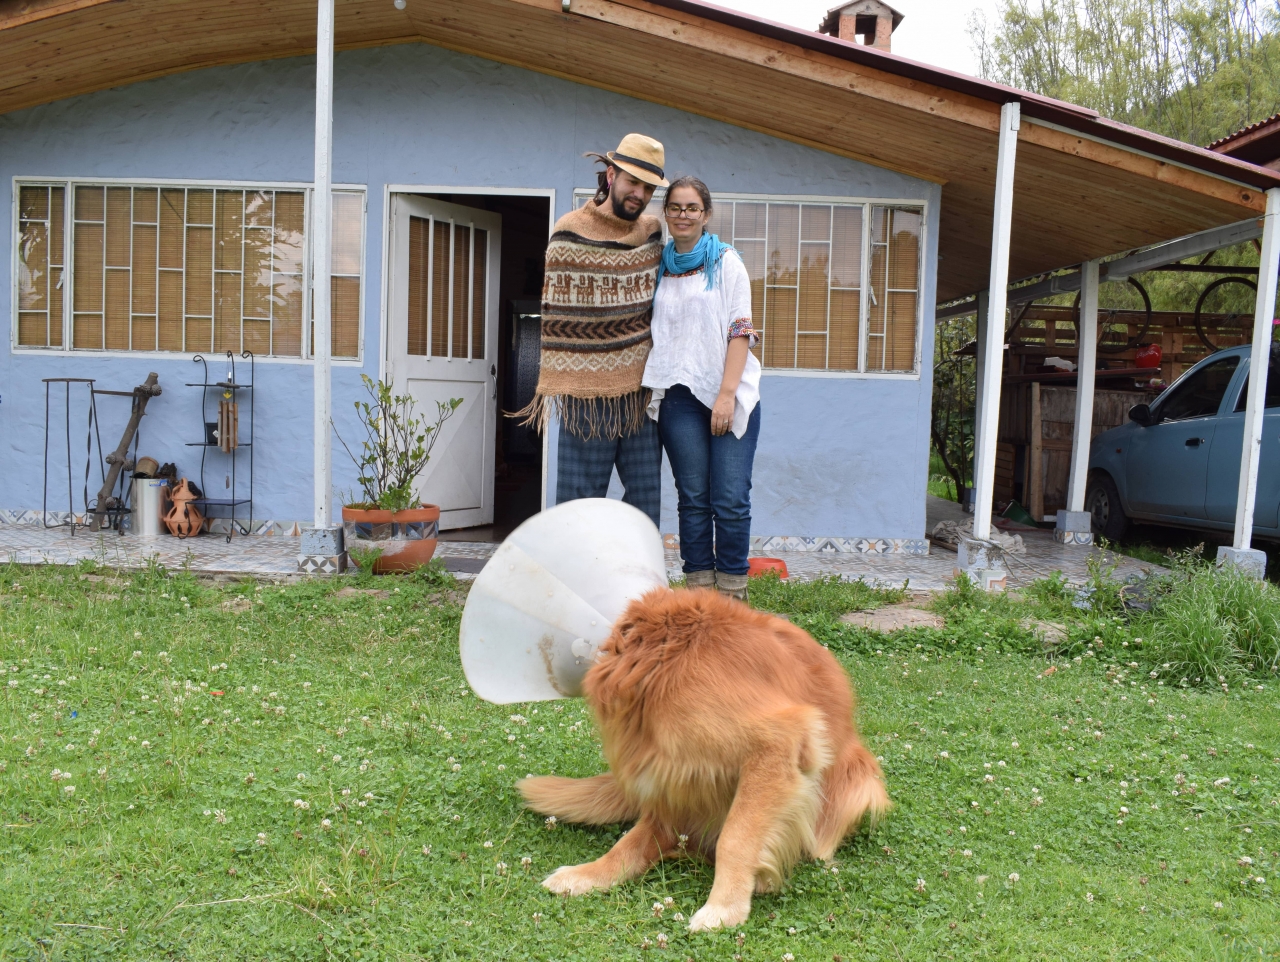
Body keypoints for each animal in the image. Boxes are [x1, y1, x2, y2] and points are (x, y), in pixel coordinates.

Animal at [514, 585, 885, 931]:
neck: (667, 658)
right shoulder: (666, 779)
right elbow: (630, 841)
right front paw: (588, 874)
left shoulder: (777, 744)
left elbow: (735, 837)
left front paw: (725, 907)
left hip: (857, 779)